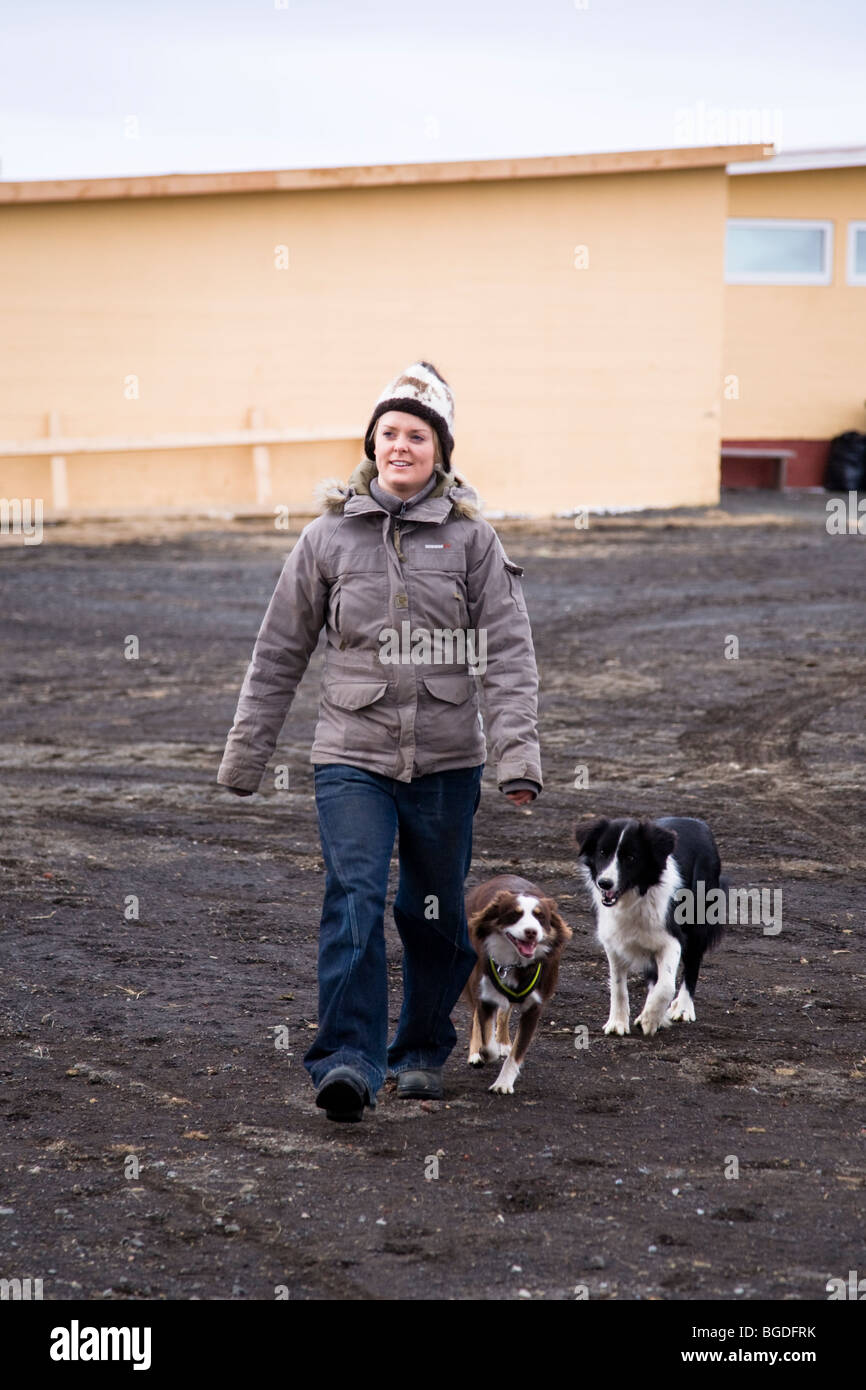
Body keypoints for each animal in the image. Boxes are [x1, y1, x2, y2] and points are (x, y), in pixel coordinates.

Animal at [464, 878, 572, 1095]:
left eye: (541, 917)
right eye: (515, 914)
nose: (531, 932)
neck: (515, 963)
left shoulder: (534, 1007)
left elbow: (517, 1052)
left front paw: (503, 1083)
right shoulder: (485, 995)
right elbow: (487, 1039)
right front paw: (484, 1051)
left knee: (505, 1012)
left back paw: (504, 1042)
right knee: (477, 1017)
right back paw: (475, 1053)